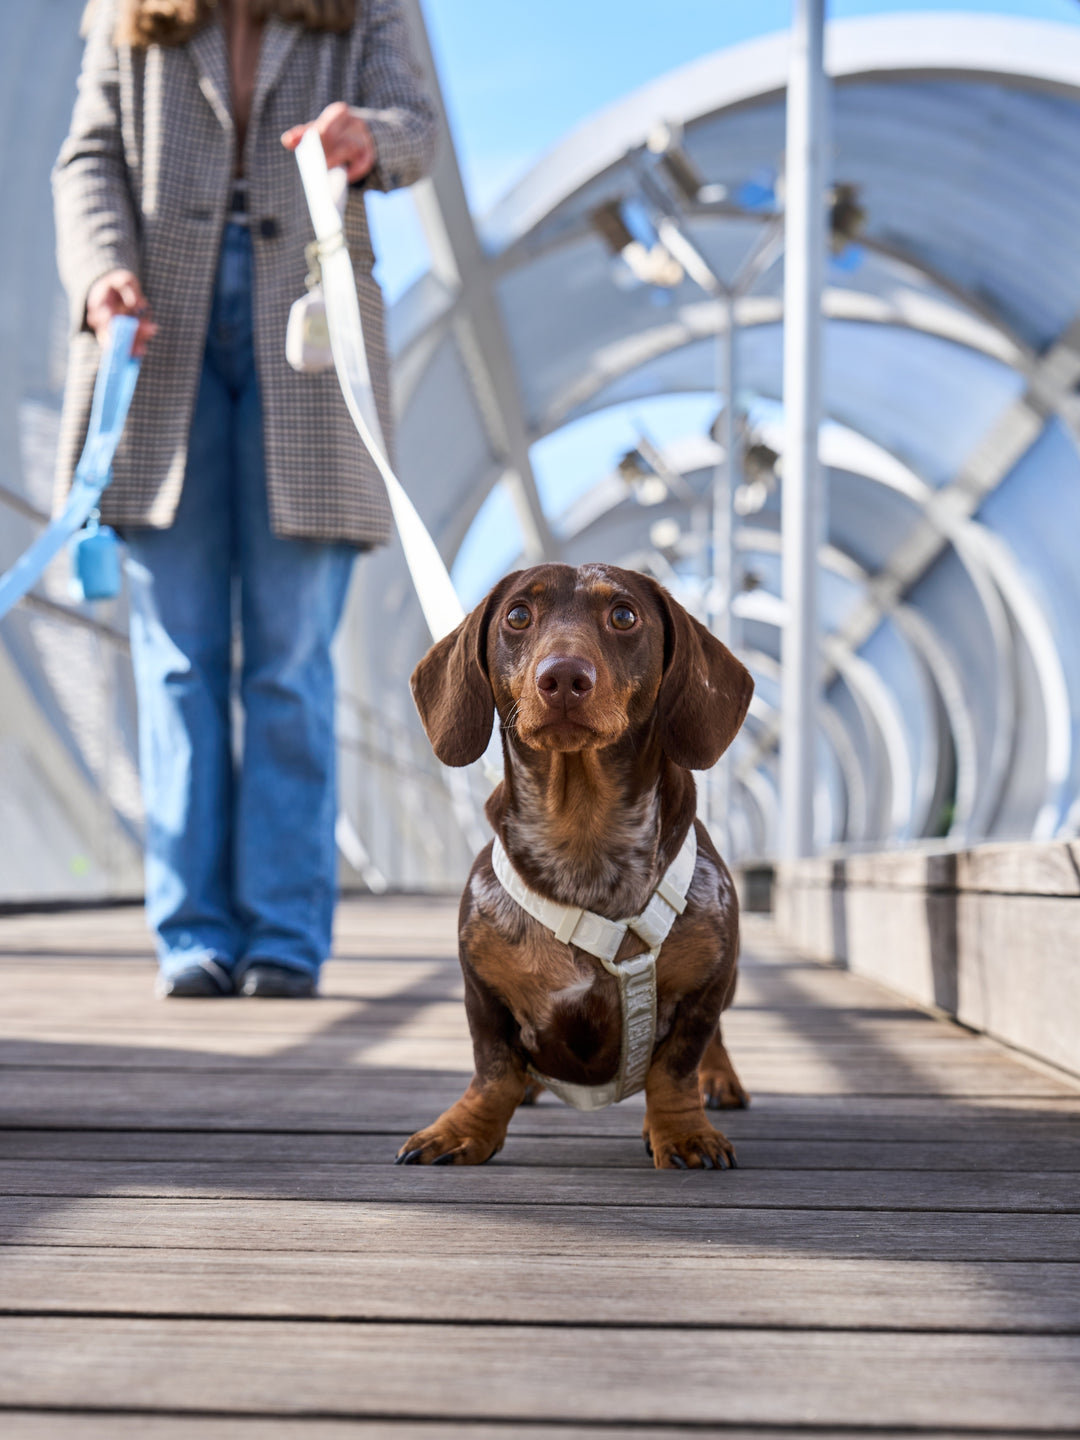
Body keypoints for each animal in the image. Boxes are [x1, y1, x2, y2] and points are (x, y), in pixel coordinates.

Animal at [394, 561, 754, 1169]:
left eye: (624, 615)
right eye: (518, 615)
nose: (563, 678)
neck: (583, 845)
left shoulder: (706, 985)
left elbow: (675, 1068)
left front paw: (684, 1132)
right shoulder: (482, 993)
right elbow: (493, 1070)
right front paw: (463, 1128)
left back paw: (720, 1079)